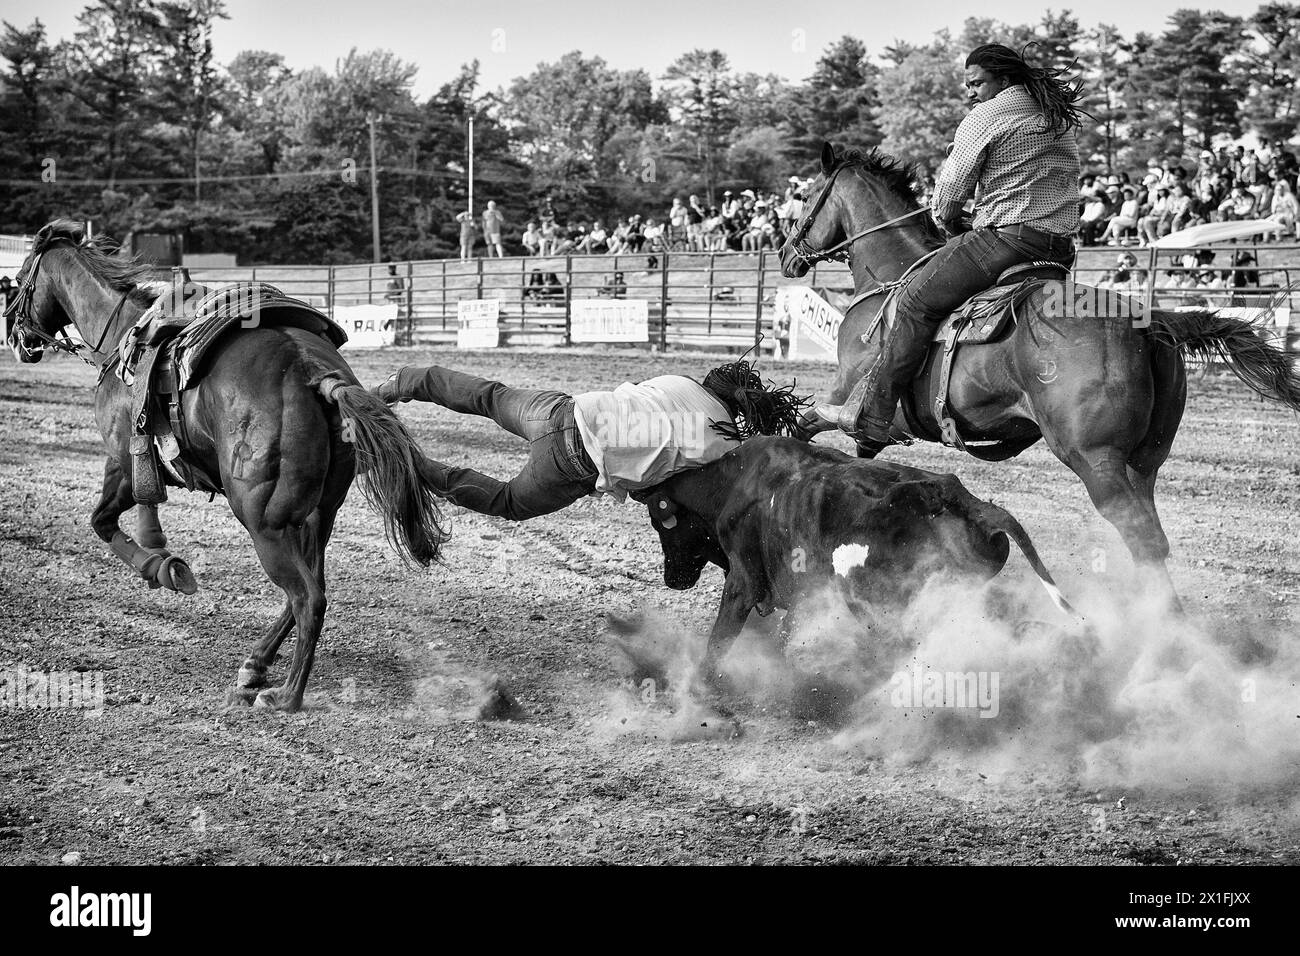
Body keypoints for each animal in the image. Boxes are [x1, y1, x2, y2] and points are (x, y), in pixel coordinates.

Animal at [5, 223, 449, 712]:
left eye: (20, 278)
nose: (14, 337)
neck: (120, 335)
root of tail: (318, 376)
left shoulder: (123, 456)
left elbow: (110, 517)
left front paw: (162, 566)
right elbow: (112, 516)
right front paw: (162, 563)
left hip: (262, 520)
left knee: (307, 598)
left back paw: (286, 696)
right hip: (315, 516)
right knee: (310, 588)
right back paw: (255, 665)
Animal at [780, 141, 1300, 606]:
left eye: (805, 197)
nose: (786, 255)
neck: (891, 278)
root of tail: (1149, 320)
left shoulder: (849, 397)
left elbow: (805, 423)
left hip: (1094, 459)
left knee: (1141, 539)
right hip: (1144, 461)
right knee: (1151, 537)